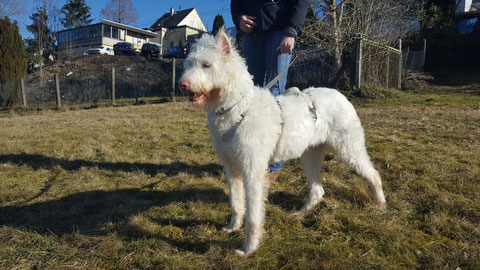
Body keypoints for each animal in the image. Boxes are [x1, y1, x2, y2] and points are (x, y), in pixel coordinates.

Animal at [179, 30, 386, 256]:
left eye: (207, 65)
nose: (182, 85)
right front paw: (233, 227)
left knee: (374, 174)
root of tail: (339, 95)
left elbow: (253, 216)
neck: (238, 106)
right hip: (310, 157)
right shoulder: (231, 168)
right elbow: (236, 203)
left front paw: (248, 248)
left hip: (349, 150)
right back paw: (301, 213)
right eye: (189, 64)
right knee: (318, 191)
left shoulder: (252, 171)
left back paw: (380, 203)